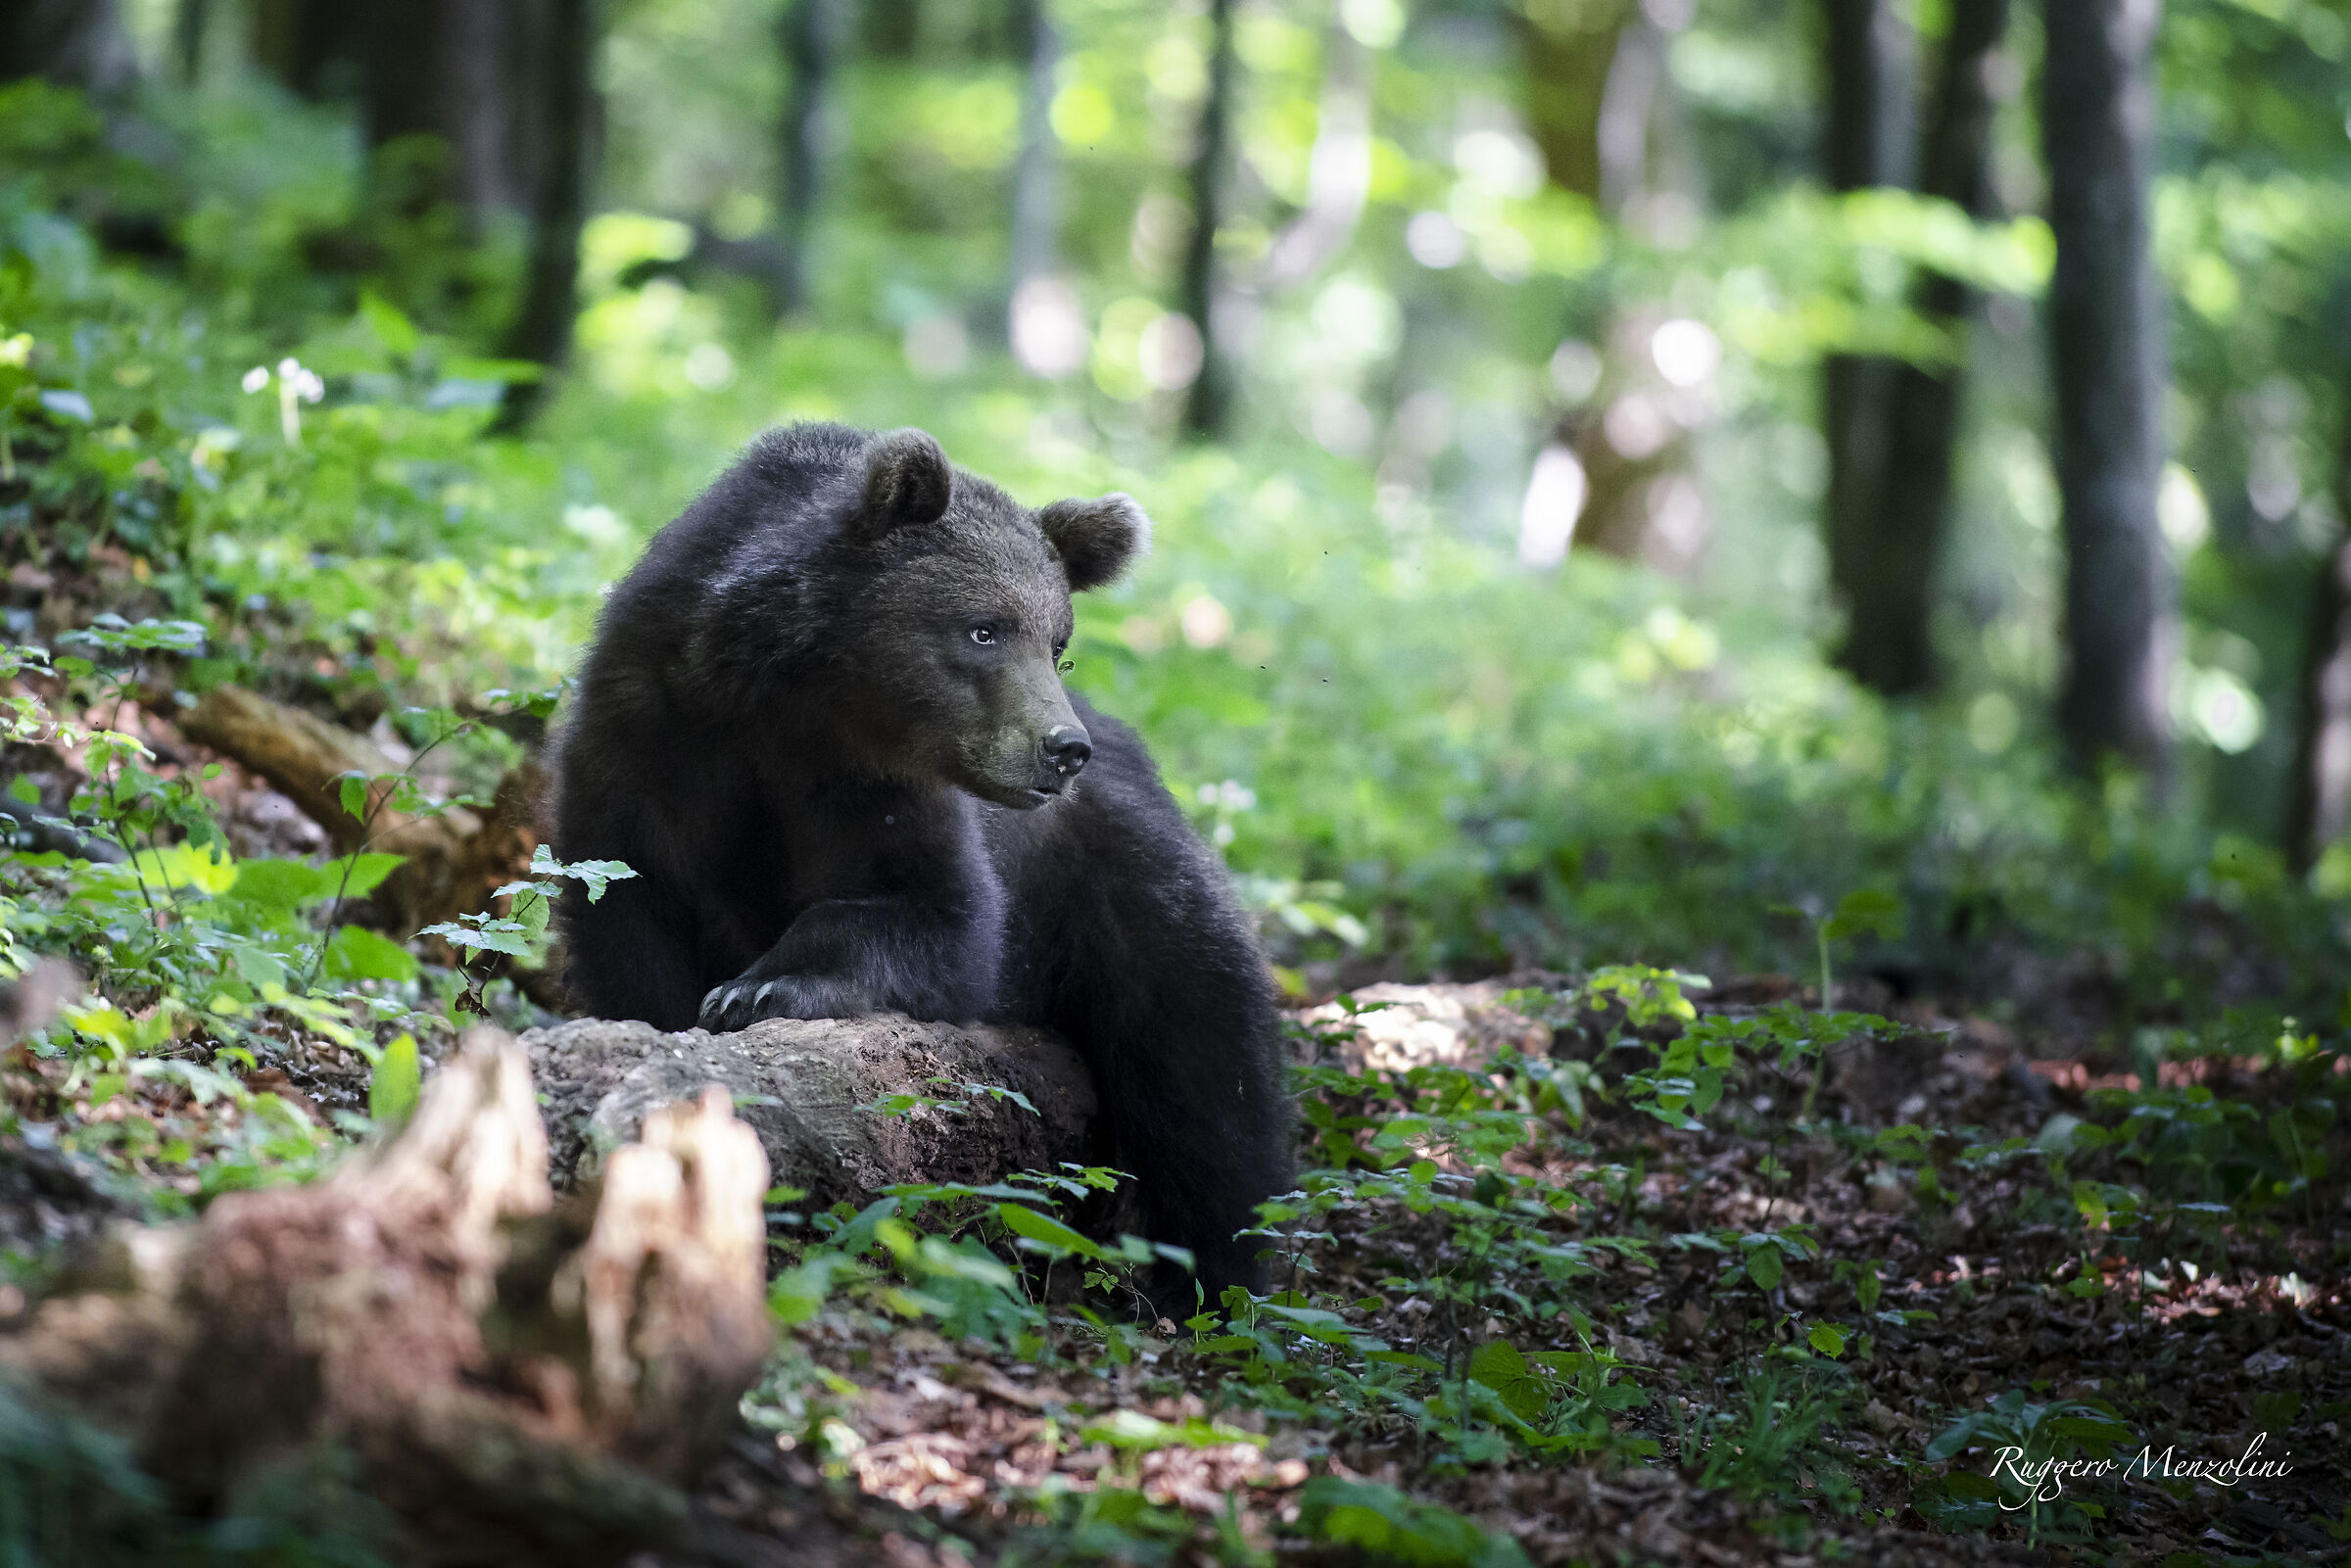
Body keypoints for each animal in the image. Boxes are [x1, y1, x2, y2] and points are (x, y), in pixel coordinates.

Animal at [550, 422, 1294, 1302]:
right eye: (984, 628)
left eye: (1059, 643)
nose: (1063, 749)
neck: (792, 699)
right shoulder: (647, 744)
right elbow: (629, 912)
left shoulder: (880, 793)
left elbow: (936, 918)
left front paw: (761, 985)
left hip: (1133, 899)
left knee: (1208, 1091)